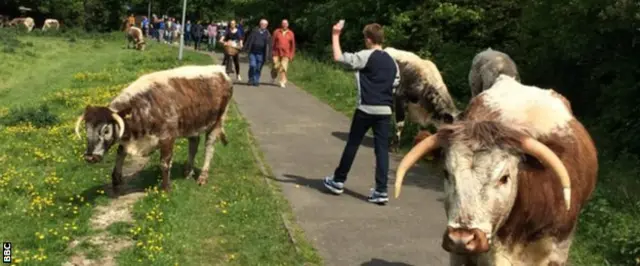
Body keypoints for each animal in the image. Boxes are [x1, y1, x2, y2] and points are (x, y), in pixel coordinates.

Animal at [74, 64, 234, 193]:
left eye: (106, 130)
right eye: (86, 129)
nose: (90, 157)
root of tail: (220, 70)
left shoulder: (168, 137)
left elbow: (164, 163)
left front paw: (166, 188)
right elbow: (121, 153)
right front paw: (116, 179)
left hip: (217, 121)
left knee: (209, 148)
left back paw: (202, 177)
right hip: (193, 124)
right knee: (193, 145)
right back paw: (188, 172)